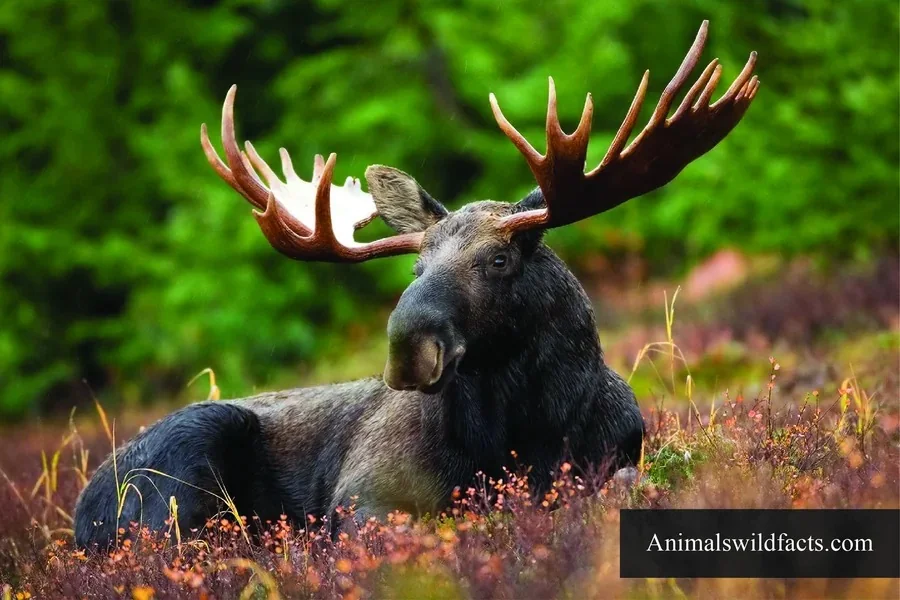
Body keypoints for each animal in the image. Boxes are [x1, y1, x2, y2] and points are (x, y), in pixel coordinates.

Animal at [74, 21, 758, 549]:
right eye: (416, 268)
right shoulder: (363, 496)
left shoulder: (616, 456)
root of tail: (80, 514)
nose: (408, 348)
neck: (525, 432)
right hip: (183, 465)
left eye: (499, 260)